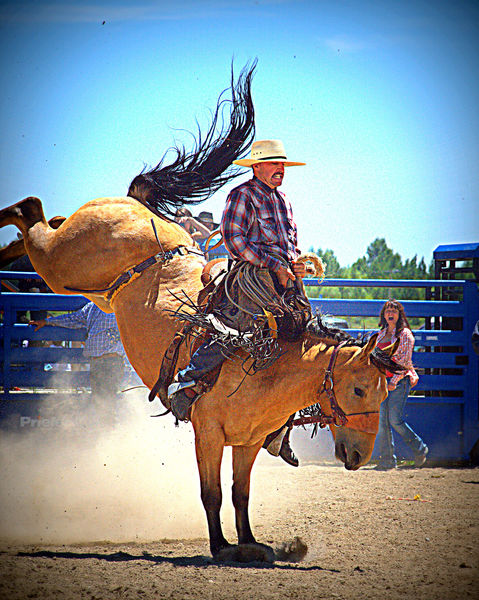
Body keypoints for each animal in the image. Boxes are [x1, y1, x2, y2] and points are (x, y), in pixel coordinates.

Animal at [0, 64, 402, 564]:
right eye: (360, 388)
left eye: (385, 394)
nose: (360, 457)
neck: (267, 366)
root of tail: (131, 206)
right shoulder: (207, 433)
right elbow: (211, 492)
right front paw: (220, 546)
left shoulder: (248, 442)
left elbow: (240, 493)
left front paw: (251, 543)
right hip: (61, 264)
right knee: (30, 212)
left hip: (85, 284)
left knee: (40, 219)